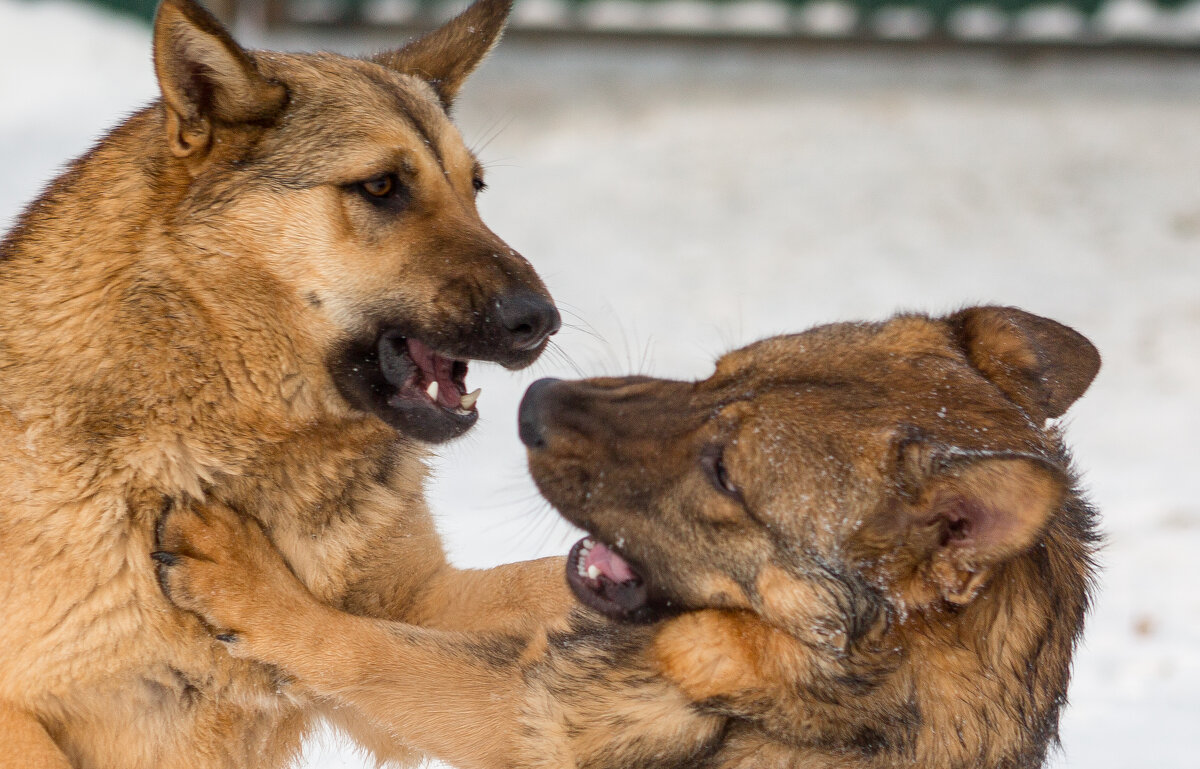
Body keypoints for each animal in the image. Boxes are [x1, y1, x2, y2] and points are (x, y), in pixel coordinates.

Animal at [0, 1, 576, 767]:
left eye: (474, 188)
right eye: (381, 186)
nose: (540, 320)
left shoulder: (417, 608)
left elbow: (517, 598)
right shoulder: (19, 713)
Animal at [157, 305, 1099, 767]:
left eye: (725, 473)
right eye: (716, 374)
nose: (532, 407)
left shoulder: (521, 719)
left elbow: (366, 647)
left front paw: (245, 578)